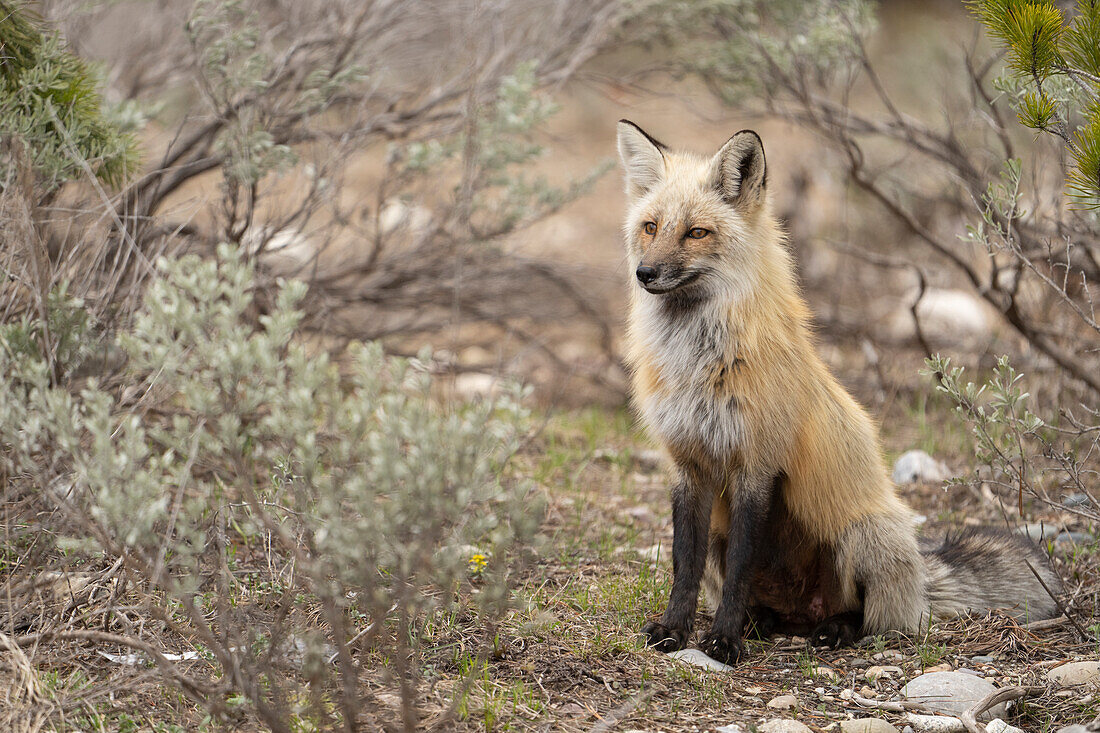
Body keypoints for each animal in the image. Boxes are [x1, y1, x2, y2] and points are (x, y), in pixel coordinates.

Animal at [620, 119, 1056, 660]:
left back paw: (833, 629)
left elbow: (743, 564)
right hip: (737, 544)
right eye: (651, 227)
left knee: (872, 618)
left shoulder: (756, 466)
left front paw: (723, 640)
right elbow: (685, 564)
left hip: (860, 537)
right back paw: (760, 621)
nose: (645, 274)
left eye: (697, 232)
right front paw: (675, 630)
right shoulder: (688, 465)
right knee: (762, 601)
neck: (700, 364)